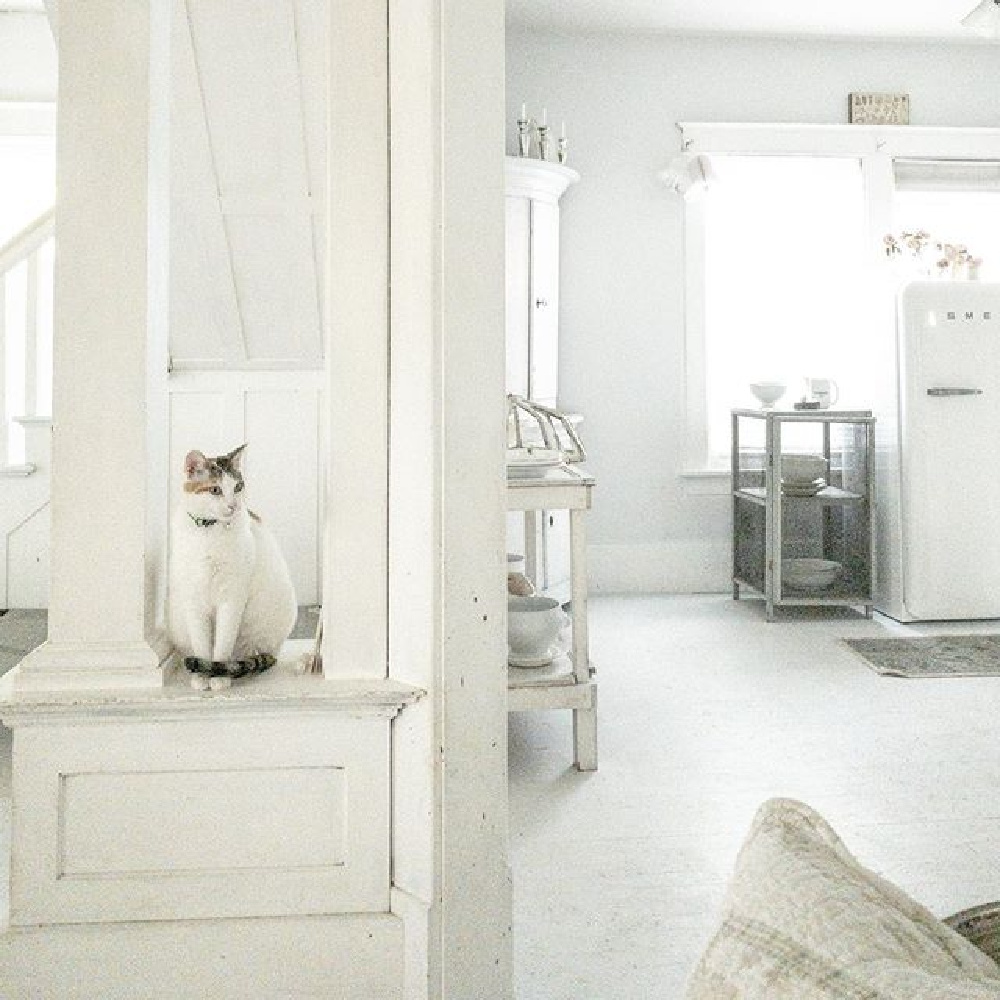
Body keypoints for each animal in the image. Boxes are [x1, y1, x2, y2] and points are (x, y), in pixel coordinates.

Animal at [168, 444, 298, 688]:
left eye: (238, 487)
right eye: (215, 490)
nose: (233, 505)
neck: (210, 532)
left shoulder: (233, 597)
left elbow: (223, 642)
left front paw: (218, 674)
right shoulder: (193, 598)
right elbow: (201, 642)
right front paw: (201, 675)